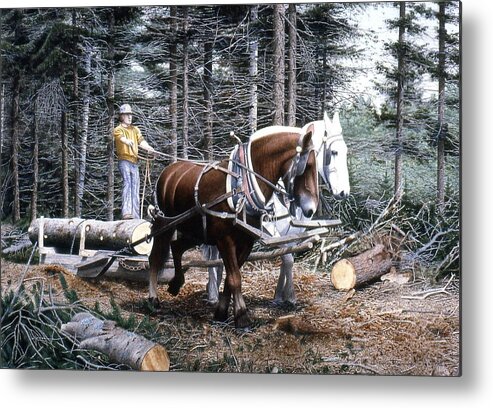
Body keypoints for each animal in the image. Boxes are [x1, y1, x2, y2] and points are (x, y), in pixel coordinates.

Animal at [148, 129, 318, 326]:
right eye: (308, 165)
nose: (311, 208)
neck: (242, 187)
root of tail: (168, 171)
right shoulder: (225, 240)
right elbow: (235, 277)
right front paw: (242, 316)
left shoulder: (246, 242)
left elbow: (230, 278)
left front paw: (221, 313)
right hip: (165, 224)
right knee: (155, 257)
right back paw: (152, 299)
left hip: (196, 231)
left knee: (176, 247)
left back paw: (176, 284)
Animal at [202, 113, 348, 304]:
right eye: (334, 152)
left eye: (346, 151)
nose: (344, 192)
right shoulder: (271, 230)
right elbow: (287, 258)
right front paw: (290, 297)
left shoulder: (293, 232)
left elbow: (288, 259)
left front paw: (279, 295)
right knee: (212, 256)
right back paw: (212, 293)